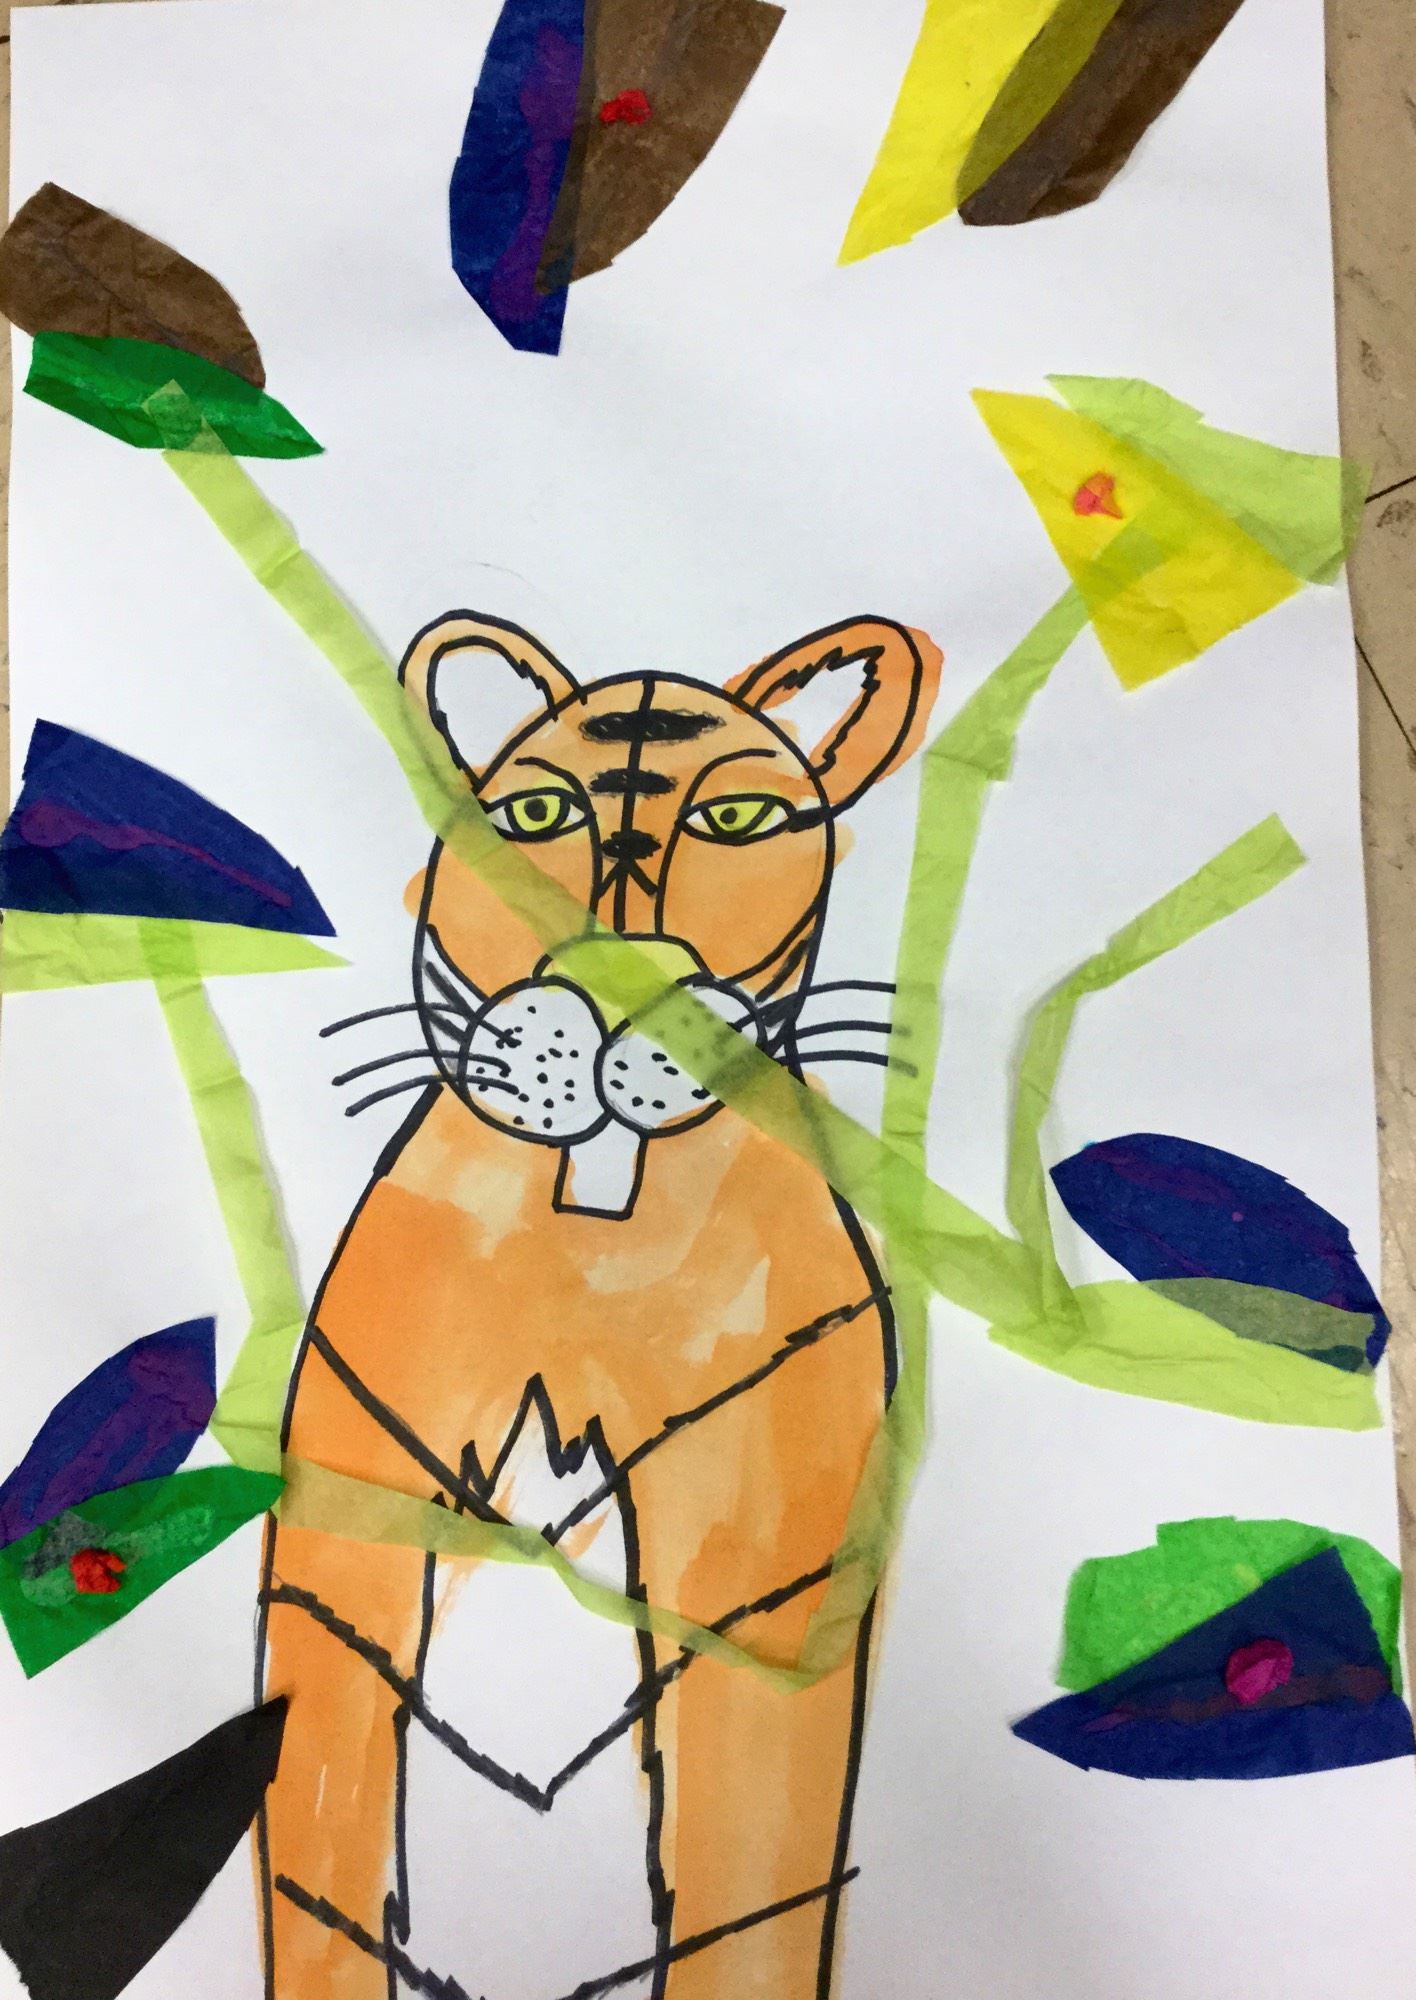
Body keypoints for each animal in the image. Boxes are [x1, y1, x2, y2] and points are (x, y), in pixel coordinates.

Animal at [256, 609, 943, 1999]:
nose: (622, 987)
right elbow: (321, 1864)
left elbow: (749, 1890)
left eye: (737, 817)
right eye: (535, 810)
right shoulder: (349, 1535)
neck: (592, 1233)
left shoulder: (763, 1585)